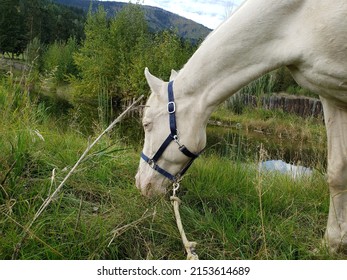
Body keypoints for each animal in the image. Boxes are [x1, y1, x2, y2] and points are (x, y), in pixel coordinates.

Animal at [135, 0, 347, 254]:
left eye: (146, 124)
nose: (140, 183)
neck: (299, 16)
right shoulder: (330, 96)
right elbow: (337, 172)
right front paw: (333, 243)